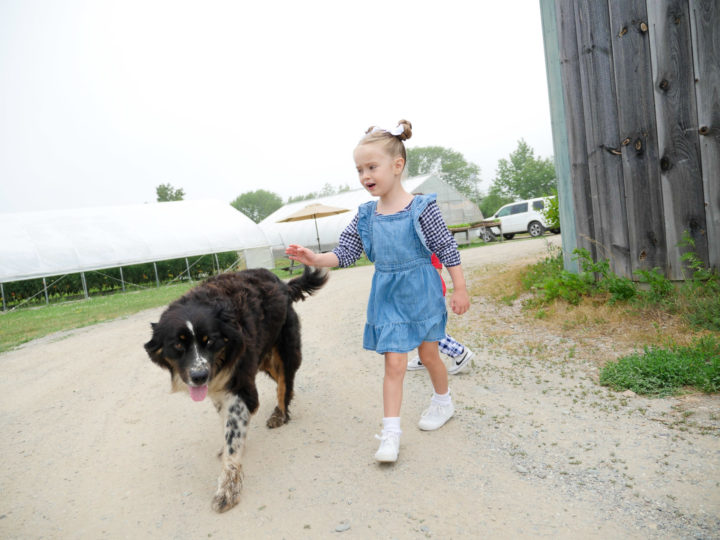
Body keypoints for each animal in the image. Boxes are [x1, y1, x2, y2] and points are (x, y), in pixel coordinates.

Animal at [143, 268, 326, 512]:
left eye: (209, 341)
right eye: (178, 344)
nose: (199, 376)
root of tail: (284, 285)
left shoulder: (240, 385)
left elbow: (234, 436)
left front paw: (228, 488)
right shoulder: (219, 386)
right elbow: (227, 425)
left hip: (283, 346)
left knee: (284, 382)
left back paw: (281, 413)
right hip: (263, 357)